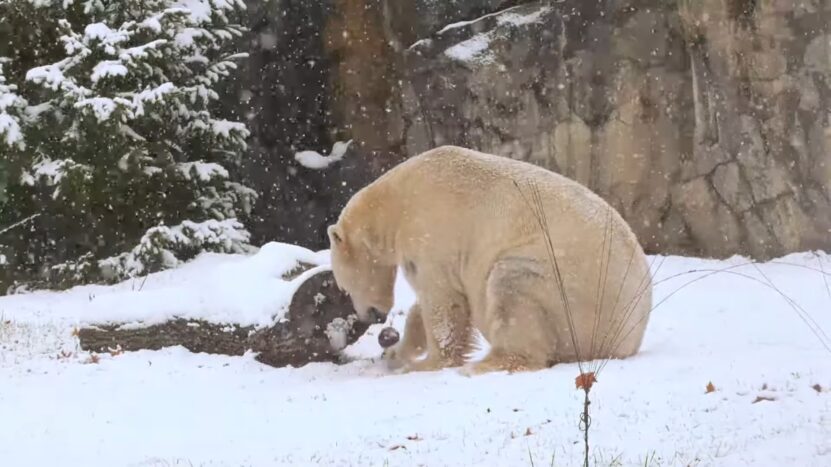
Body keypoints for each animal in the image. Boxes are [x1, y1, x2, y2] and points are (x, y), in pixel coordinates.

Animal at [328, 144, 652, 374]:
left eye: (343, 288)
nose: (371, 316)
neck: (397, 202)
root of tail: (630, 335)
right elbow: (425, 306)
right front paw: (395, 353)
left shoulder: (431, 232)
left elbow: (442, 302)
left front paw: (424, 364)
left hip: (565, 284)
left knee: (511, 286)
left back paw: (483, 365)